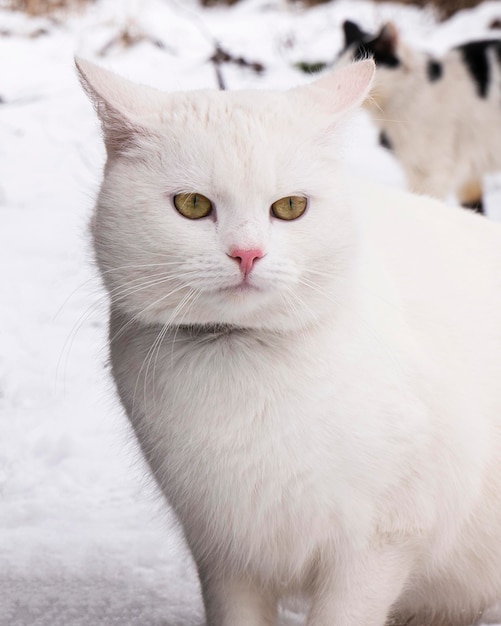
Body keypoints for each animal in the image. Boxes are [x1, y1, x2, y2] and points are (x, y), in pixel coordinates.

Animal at [78, 58, 501, 624]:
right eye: (192, 205)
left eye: (290, 207)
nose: (247, 253)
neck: (243, 362)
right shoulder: (223, 552)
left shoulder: (379, 544)